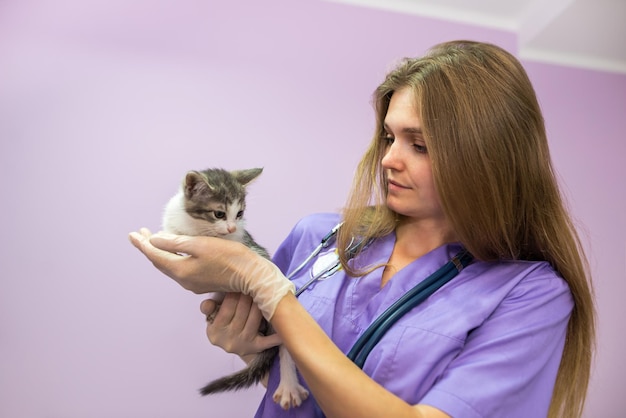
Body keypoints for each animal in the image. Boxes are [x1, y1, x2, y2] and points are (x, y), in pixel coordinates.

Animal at [160, 168, 308, 410]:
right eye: (219, 214)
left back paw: (289, 385)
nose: (230, 227)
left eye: (239, 214)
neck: (198, 226)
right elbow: (170, 233)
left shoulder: (243, 241)